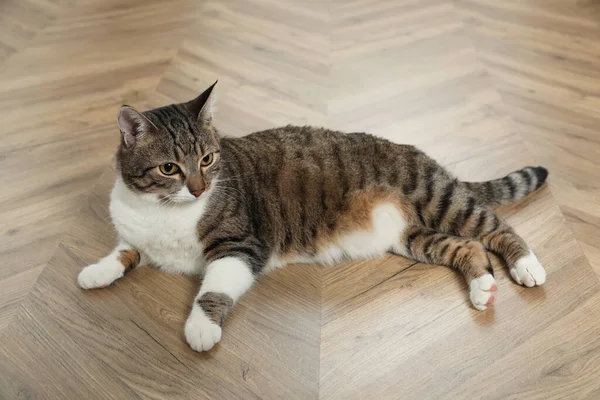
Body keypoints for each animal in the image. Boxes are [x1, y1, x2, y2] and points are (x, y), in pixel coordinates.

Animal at [78, 83, 548, 352]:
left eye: (208, 159)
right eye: (169, 168)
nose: (197, 189)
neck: (164, 211)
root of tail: (423, 156)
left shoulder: (241, 246)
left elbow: (214, 287)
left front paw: (200, 326)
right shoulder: (137, 233)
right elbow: (124, 250)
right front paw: (96, 271)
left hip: (439, 199)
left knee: (494, 228)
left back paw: (527, 265)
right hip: (413, 236)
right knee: (466, 246)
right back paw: (483, 287)